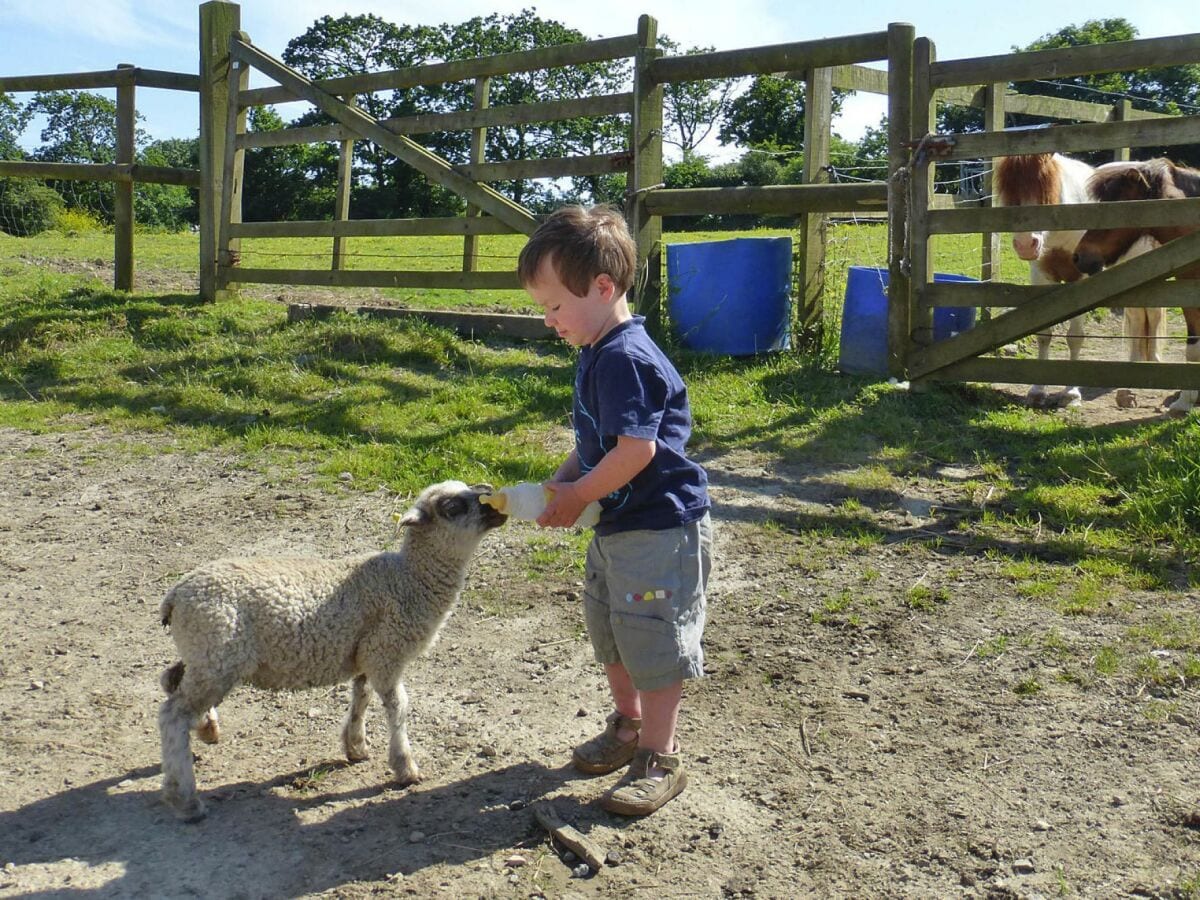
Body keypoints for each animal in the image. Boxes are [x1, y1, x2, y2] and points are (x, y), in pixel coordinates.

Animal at [154, 482, 501, 820]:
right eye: (451, 507)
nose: (493, 499)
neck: (410, 579)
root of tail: (176, 595)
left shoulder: (365, 652)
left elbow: (361, 696)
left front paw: (356, 746)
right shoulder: (386, 652)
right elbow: (398, 707)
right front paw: (405, 767)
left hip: (205, 652)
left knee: (170, 679)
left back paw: (206, 730)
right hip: (218, 655)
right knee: (173, 714)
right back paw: (185, 799)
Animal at [988, 154, 1156, 408]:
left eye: (1046, 188)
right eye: (1010, 189)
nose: (1027, 244)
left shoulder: (1081, 278)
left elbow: (1075, 337)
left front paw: (1071, 394)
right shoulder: (1041, 277)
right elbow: (1044, 335)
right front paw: (1037, 391)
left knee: (1148, 317)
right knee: (1139, 319)